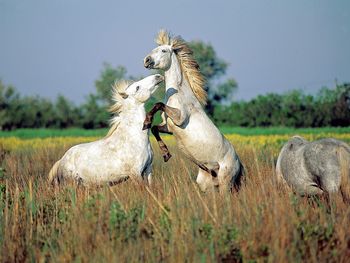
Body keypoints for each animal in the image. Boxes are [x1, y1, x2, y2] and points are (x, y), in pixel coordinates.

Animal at [142, 30, 243, 192]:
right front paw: (166, 155)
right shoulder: (169, 126)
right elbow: (155, 128)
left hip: (225, 183)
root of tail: (239, 164)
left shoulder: (180, 118)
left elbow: (158, 105)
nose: (146, 60)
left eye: (163, 50)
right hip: (207, 183)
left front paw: (146, 122)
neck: (179, 94)